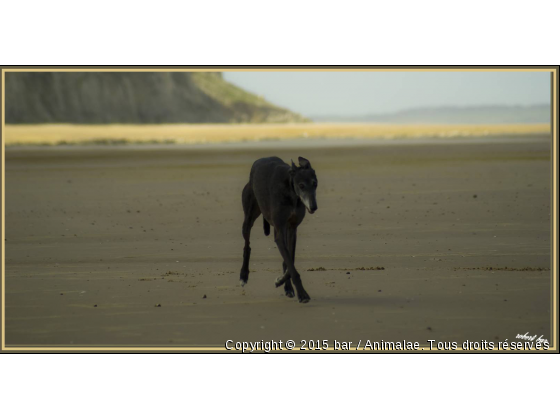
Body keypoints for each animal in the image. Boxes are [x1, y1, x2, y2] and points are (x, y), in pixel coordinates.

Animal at [240, 156, 320, 304]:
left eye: (315, 183)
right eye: (301, 185)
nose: (314, 207)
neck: (291, 190)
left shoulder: (292, 228)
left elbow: (289, 260)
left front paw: (281, 282)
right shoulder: (279, 231)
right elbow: (290, 264)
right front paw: (302, 294)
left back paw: (287, 288)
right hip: (248, 217)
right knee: (247, 245)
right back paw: (243, 276)